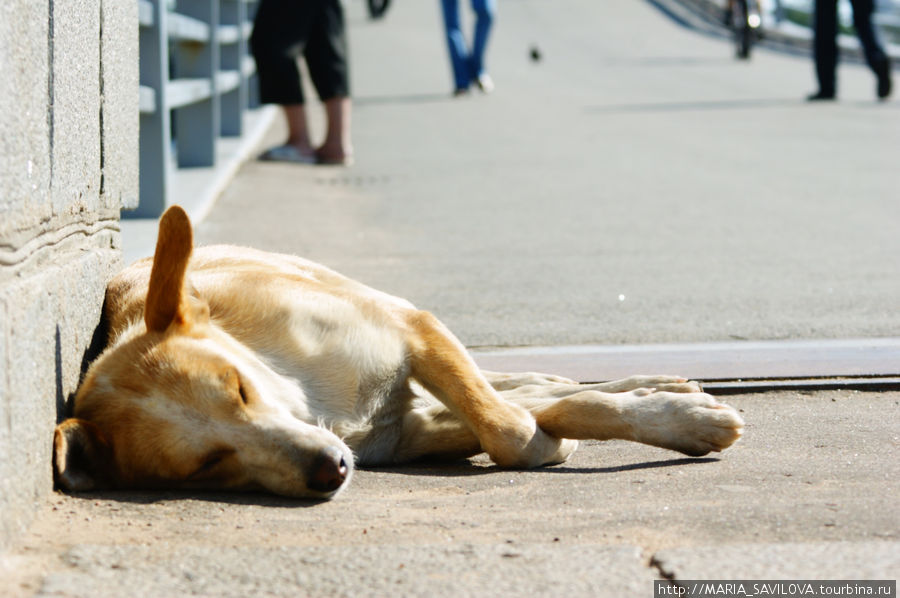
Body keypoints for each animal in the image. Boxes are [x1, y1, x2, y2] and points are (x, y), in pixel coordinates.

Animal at [54, 209, 744, 500]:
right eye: (207, 465)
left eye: (238, 388)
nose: (328, 468)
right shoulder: (408, 426)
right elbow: (521, 422)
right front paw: (671, 417)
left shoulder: (413, 328)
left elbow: (507, 424)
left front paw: (679, 418)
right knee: (533, 391)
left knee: (515, 387)